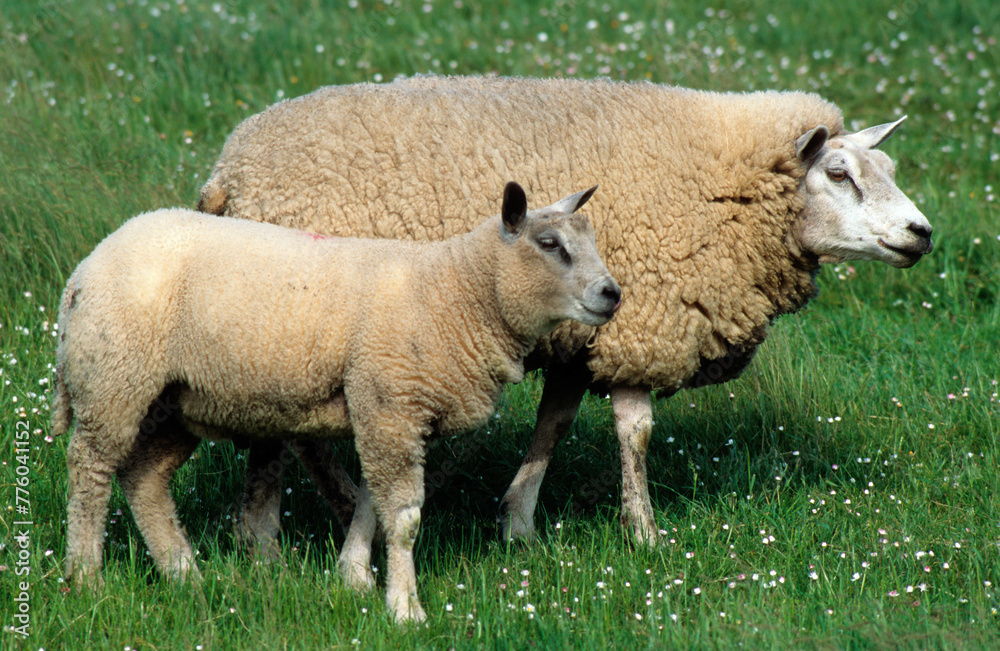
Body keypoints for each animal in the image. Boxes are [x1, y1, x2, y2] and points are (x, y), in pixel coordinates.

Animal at [52, 181, 622, 623]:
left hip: (177, 401)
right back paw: (86, 575)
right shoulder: (390, 404)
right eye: (549, 244)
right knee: (90, 470)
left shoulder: (383, 409)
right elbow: (404, 519)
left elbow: (371, 499)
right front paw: (405, 608)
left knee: (143, 478)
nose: (612, 293)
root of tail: (84, 269)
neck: (453, 292)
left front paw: (353, 576)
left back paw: (183, 573)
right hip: (115, 379)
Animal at [197, 75, 934, 550]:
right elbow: (635, 433)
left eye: (888, 168)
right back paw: (315, 516)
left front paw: (518, 522)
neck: (726, 191)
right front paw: (644, 533)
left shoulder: (581, 336)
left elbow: (553, 423)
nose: (923, 233)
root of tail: (228, 170)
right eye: (838, 174)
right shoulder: (644, 322)